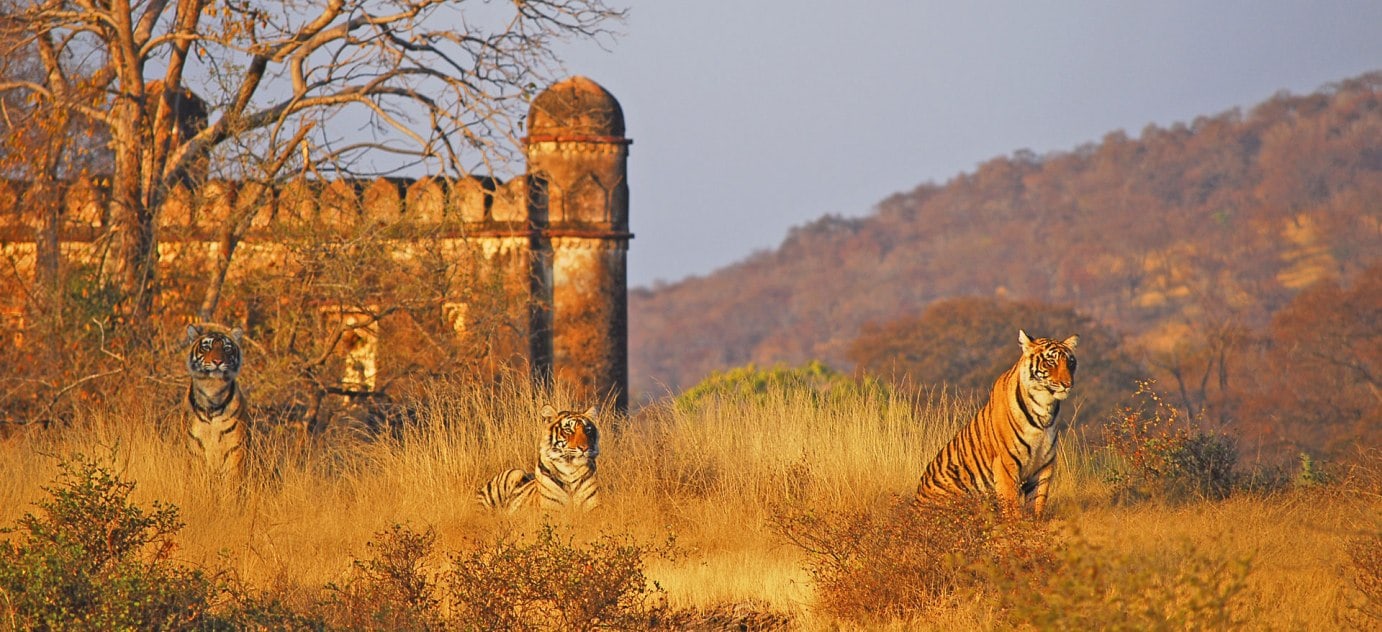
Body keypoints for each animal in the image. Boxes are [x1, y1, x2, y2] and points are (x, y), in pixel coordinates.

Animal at [182, 322, 252, 481]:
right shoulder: (195, 446)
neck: (212, 392)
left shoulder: (234, 447)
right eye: (206, 347)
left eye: (227, 348)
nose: (218, 362)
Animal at [917, 327, 1077, 514]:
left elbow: (1038, 502)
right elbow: (1012, 505)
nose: (1068, 384)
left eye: (1071, 363)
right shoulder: (1006, 463)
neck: (1045, 406)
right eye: (1050, 362)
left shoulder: (1044, 464)